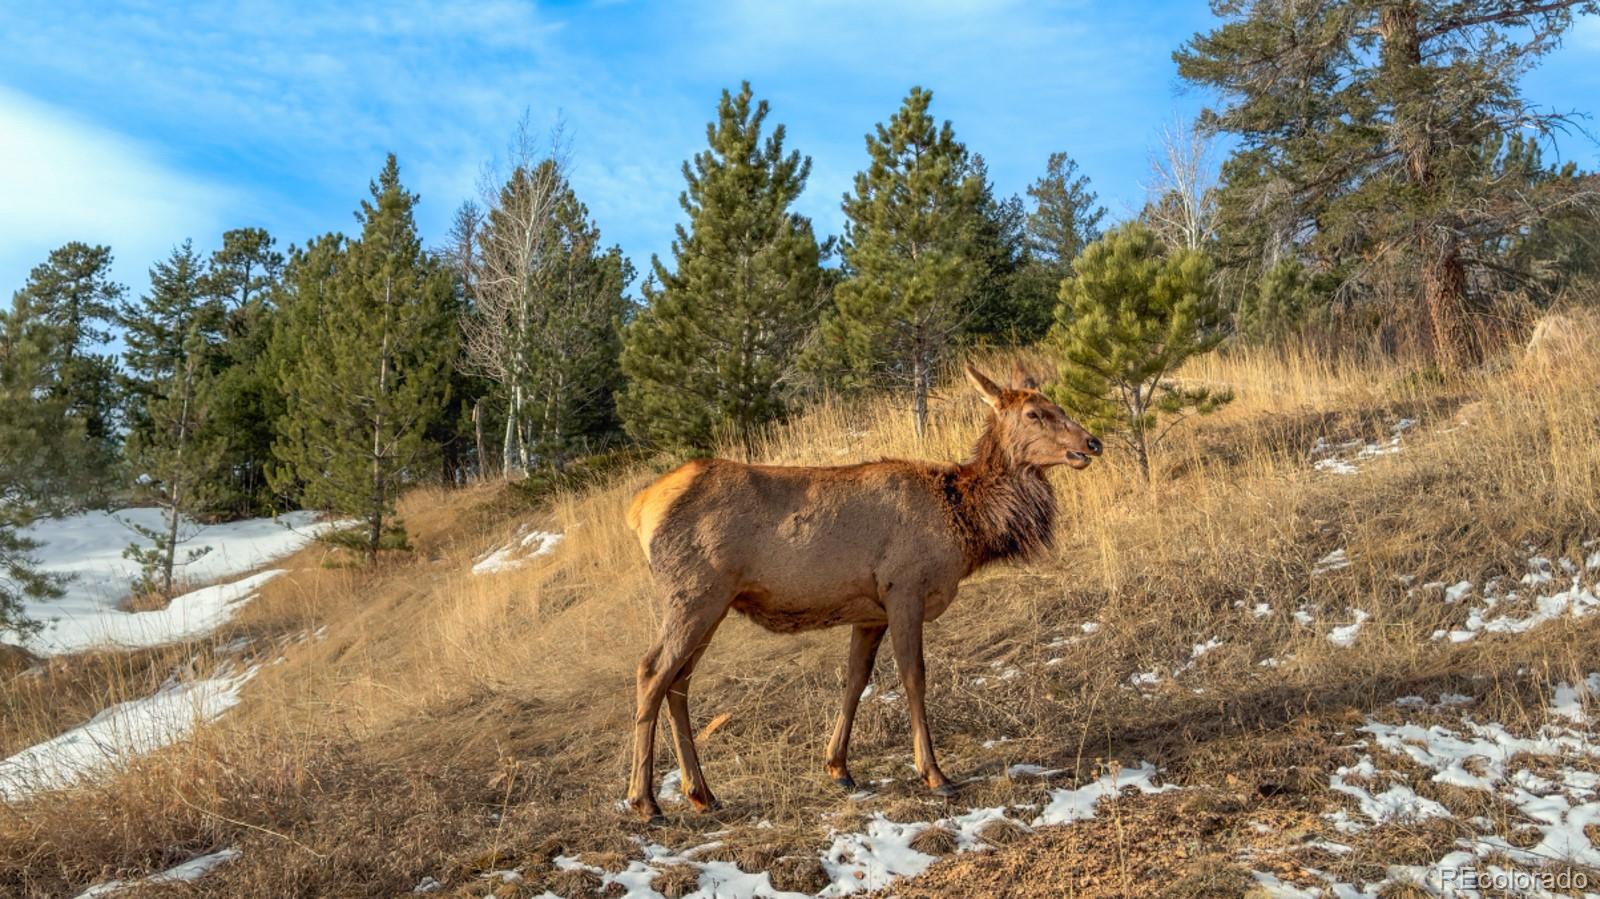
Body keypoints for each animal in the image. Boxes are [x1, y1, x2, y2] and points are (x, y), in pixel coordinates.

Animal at [624, 364, 1100, 819]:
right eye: (1034, 413)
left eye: (1055, 404)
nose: (1091, 443)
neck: (966, 522)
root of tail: (638, 509)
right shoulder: (904, 587)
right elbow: (914, 677)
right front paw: (934, 773)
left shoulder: (870, 612)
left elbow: (856, 679)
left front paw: (838, 766)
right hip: (693, 594)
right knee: (651, 671)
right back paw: (645, 802)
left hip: (715, 604)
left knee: (679, 682)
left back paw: (701, 793)